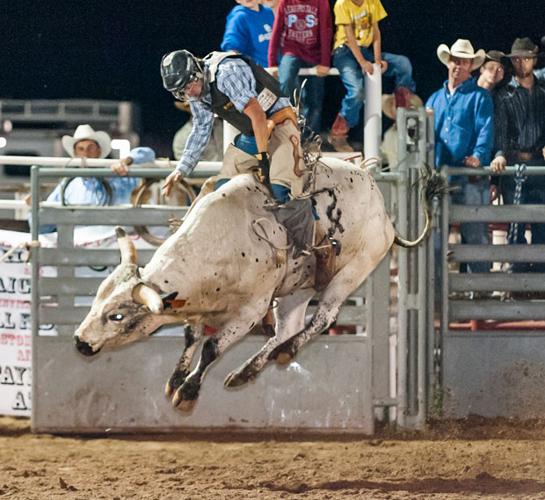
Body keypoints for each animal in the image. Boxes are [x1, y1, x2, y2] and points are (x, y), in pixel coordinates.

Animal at [74, 156, 432, 410]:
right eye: (97, 301)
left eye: (117, 315)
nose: (80, 342)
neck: (222, 242)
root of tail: (385, 216)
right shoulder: (201, 307)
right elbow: (191, 337)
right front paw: (176, 380)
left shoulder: (251, 310)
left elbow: (211, 347)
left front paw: (188, 391)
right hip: (296, 289)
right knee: (287, 328)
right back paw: (247, 371)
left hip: (352, 271)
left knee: (323, 318)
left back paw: (285, 351)